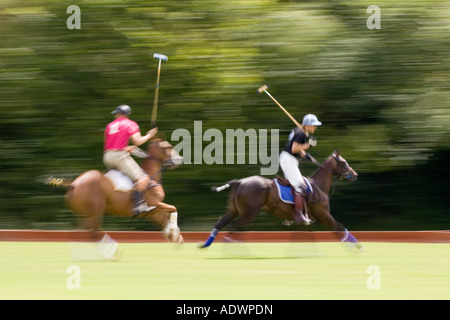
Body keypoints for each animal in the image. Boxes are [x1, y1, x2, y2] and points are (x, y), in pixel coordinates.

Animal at [48, 139, 184, 244]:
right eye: (167, 147)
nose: (179, 158)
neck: (151, 176)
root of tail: (74, 184)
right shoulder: (154, 205)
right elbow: (173, 208)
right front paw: (174, 234)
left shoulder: (152, 212)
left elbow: (165, 219)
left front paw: (175, 237)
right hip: (95, 212)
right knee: (94, 233)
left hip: (84, 214)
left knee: (80, 233)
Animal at [200, 149, 366, 251]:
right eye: (343, 162)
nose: (355, 175)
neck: (318, 186)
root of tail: (240, 181)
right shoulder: (323, 214)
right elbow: (339, 227)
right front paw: (358, 248)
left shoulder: (306, 219)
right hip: (249, 213)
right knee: (234, 229)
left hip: (235, 210)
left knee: (220, 224)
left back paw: (204, 245)